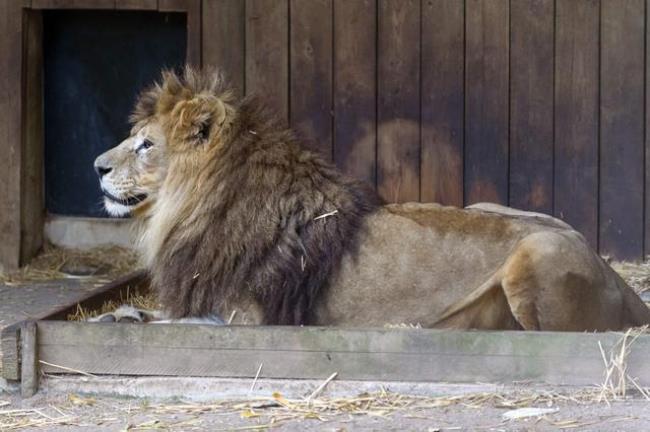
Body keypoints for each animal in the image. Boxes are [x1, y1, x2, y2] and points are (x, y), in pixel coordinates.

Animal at [92, 67, 648, 330]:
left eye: (146, 145)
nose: (96, 166)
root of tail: (625, 287)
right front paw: (121, 314)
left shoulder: (248, 317)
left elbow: (179, 319)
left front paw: (122, 318)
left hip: (534, 254)